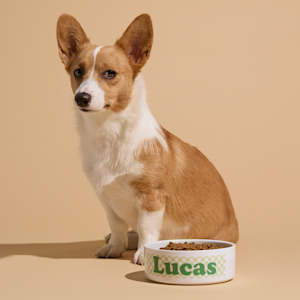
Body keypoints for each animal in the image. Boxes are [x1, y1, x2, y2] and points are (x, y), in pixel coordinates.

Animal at [56, 13, 239, 264]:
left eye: (110, 73)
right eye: (77, 72)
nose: (81, 98)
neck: (109, 132)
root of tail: (237, 230)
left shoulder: (151, 197)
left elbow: (147, 228)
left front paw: (144, 253)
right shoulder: (107, 199)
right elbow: (117, 227)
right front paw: (115, 247)